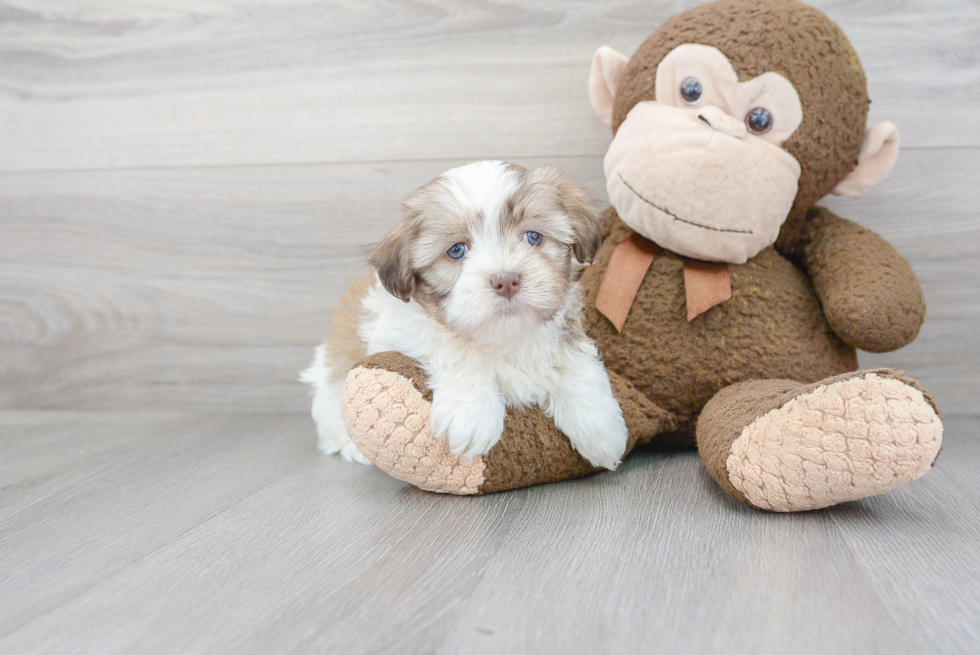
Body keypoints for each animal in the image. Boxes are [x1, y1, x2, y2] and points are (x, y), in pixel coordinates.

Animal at [298, 161, 632, 468]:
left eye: (533, 237)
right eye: (457, 250)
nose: (506, 280)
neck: (505, 337)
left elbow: (575, 364)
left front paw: (600, 425)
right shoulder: (403, 328)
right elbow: (453, 350)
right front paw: (472, 415)